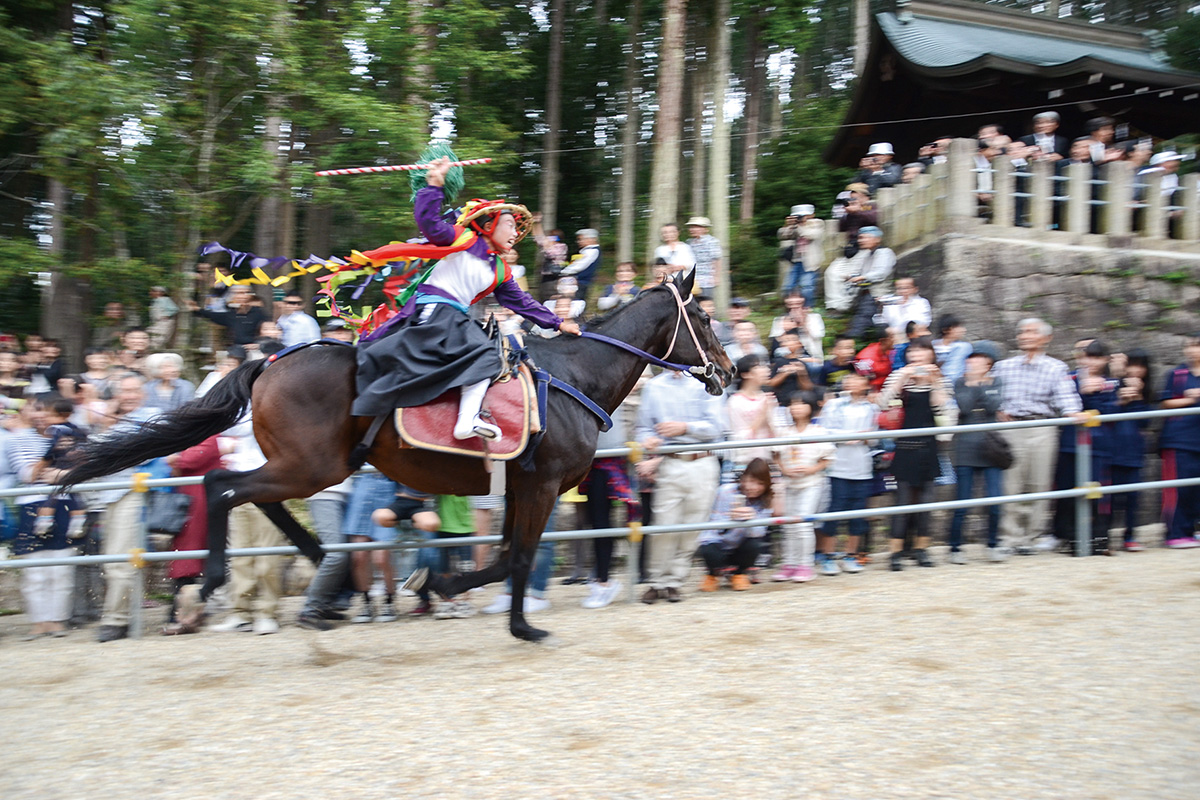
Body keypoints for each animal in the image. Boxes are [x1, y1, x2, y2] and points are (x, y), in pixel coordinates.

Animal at [63, 272, 729, 642]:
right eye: (702, 316)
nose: (726, 371)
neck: (575, 377)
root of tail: (272, 360)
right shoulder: (540, 485)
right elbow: (516, 558)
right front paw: (518, 623)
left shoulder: (520, 486)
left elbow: (503, 557)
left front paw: (443, 581)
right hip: (311, 467)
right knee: (222, 485)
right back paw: (220, 574)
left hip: (308, 468)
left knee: (244, 491)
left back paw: (319, 563)